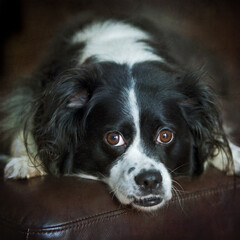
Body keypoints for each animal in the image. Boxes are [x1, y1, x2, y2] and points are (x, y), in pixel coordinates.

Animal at [0, 14, 240, 211]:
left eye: (165, 135)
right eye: (113, 138)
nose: (150, 180)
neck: (123, 54)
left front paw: (232, 154)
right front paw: (25, 161)